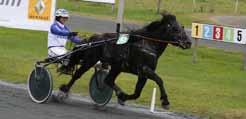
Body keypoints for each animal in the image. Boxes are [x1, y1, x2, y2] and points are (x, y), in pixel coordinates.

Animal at [58, 12, 192, 109]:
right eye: (175, 29)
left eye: (182, 27)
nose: (189, 42)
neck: (147, 44)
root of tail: (92, 39)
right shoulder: (144, 69)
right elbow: (159, 80)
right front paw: (165, 101)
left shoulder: (142, 74)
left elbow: (137, 93)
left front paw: (123, 97)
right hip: (90, 60)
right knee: (77, 74)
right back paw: (63, 90)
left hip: (117, 67)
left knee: (108, 80)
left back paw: (120, 94)